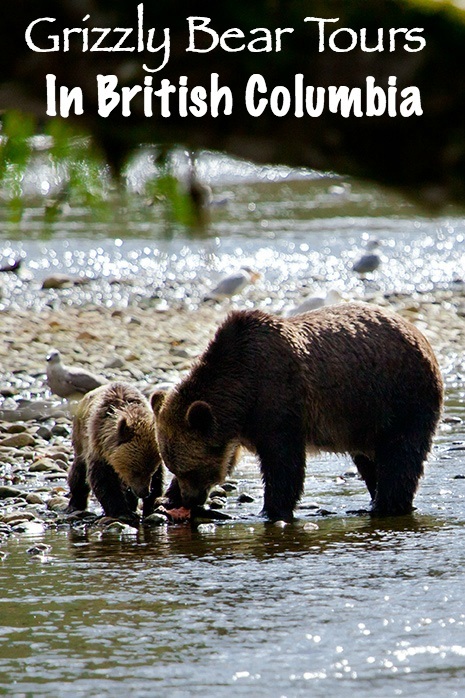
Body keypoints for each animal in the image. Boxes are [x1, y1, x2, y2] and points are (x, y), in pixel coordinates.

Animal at [67, 381, 163, 523]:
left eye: (151, 471)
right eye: (135, 471)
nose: (144, 492)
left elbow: (158, 479)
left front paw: (150, 506)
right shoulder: (98, 448)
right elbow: (103, 480)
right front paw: (122, 513)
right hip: (80, 439)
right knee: (79, 472)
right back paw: (75, 503)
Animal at [152, 303, 443, 521]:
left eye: (192, 469)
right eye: (173, 467)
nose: (190, 498)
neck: (242, 390)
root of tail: (418, 333)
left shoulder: (279, 399)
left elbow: (283, 463)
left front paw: (271, 510)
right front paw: (167, 497)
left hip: (400, 397)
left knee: (400, 456)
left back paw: (386, 505)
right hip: (364, 417)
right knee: (369, 461)